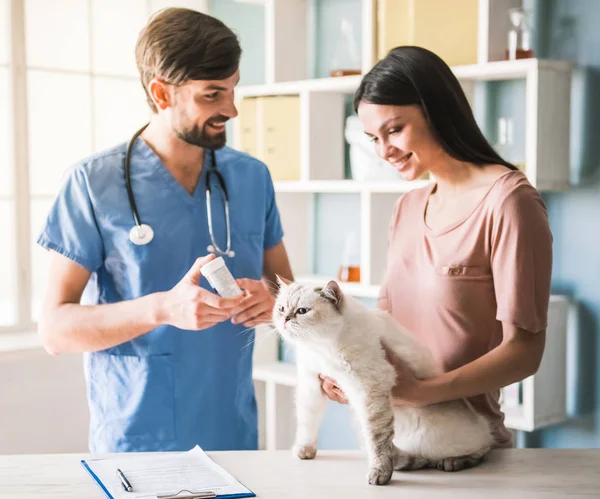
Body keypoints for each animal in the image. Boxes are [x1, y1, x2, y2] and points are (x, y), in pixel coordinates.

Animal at [272, 280, 492, 486]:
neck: (321, 347)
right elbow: (307, 423)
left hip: (437, 440)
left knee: (482, 449)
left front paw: (379, 475)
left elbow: (377, 442)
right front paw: (304, 451)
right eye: (281, 308)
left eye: (302, 311)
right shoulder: (311, 384)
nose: (284, 319)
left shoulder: (370, 389)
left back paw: (452, 462)